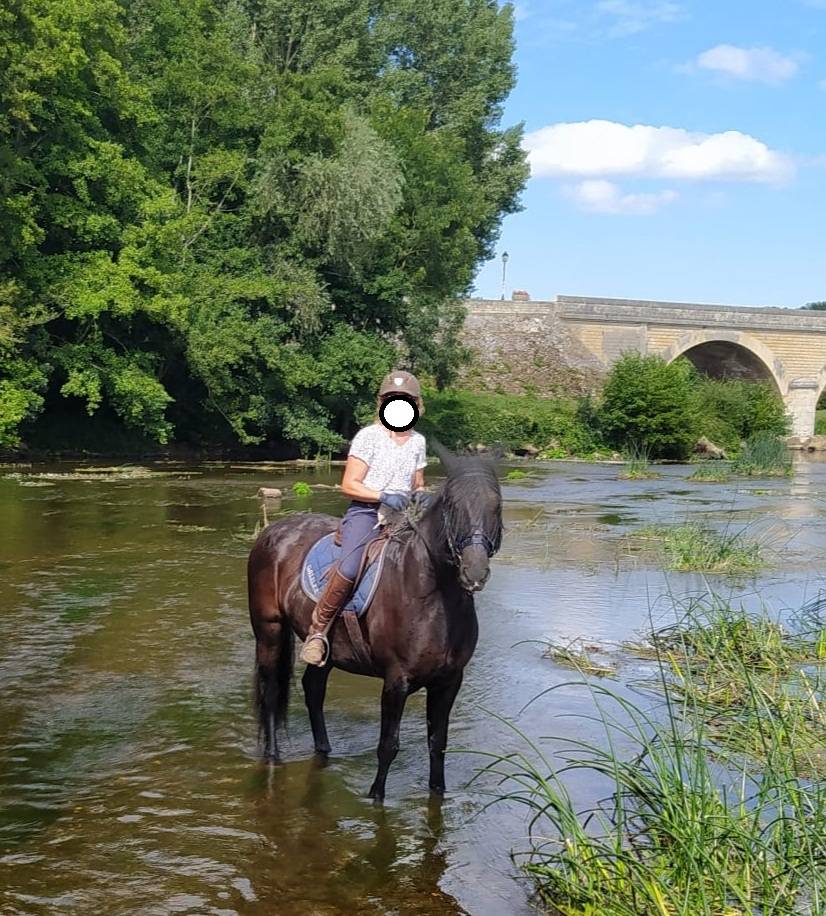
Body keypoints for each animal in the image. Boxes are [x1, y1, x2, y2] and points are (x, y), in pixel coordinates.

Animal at [246, 445, 503, 801]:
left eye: (497, 505)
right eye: (452, 505)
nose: (474, 573)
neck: (431, 595)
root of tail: (273, 531)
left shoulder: (449, 681)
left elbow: (438, 744)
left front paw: (438, 791)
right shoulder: (396, 680)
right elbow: (388, 746)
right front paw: (375, 797)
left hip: (327, 649)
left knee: (313, 688)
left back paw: (324, 750)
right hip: (269, 629)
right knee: (271, 692)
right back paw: (273, 757)